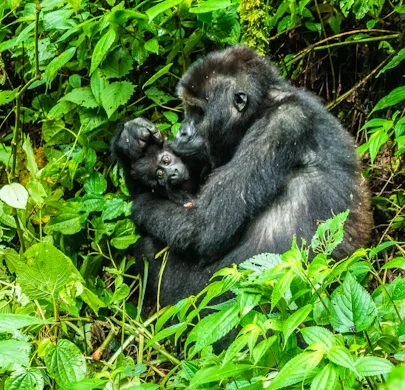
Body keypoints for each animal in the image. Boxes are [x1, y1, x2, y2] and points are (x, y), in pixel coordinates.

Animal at [112, 45, 370, 308]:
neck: (263, 107)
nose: (181, 132)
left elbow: (204, 226)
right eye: (187, 110)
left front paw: (140, 204)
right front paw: (130, 141)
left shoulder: (281, 124)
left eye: (198, 112)